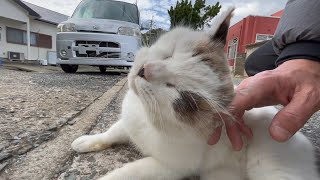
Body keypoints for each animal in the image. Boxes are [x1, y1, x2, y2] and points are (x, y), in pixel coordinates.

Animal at [72, 7, 320, 179]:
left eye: (179, 95)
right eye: (170, 54)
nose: (144, 71)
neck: (148, 118)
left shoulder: (169, 167)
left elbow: (126, 173)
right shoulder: (128, 122)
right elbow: (112, 132)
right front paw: (86, 141)